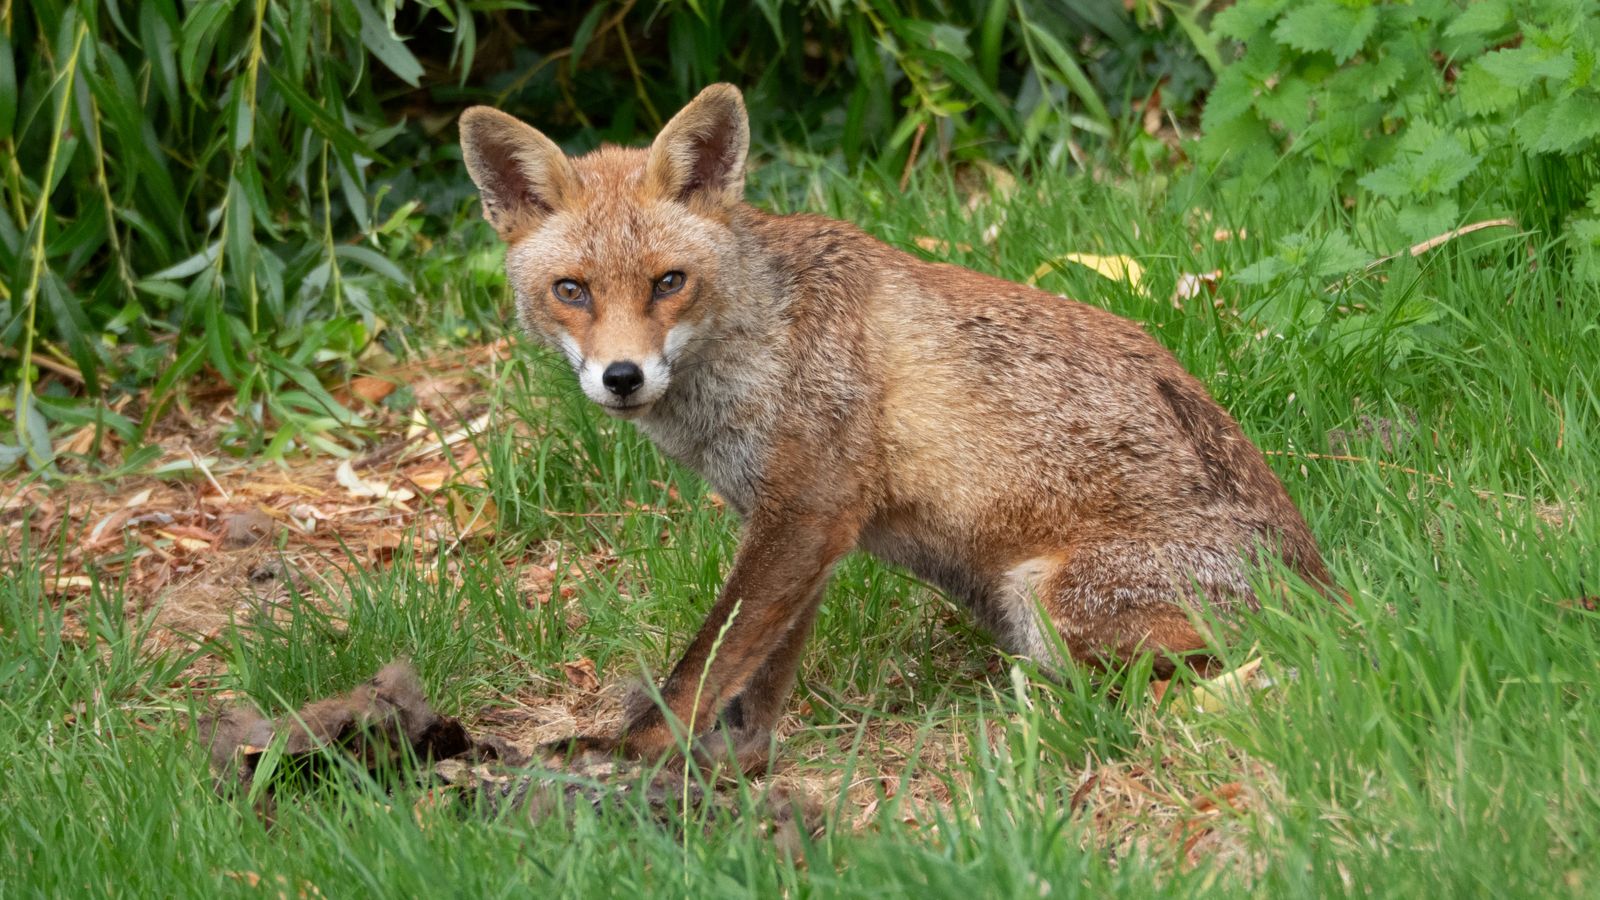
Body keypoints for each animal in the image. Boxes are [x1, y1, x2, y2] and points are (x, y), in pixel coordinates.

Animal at [459, 84, 1334, 771]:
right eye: (571, 290)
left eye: (668, 282)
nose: (622, 377)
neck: (758, 339)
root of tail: (1326, 588)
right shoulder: (800, 527)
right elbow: (759, 673)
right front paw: (738, 763)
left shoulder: (808, 510)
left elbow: (704, 664)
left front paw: (634, 751)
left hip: (1048, 600)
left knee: (1196, 677)